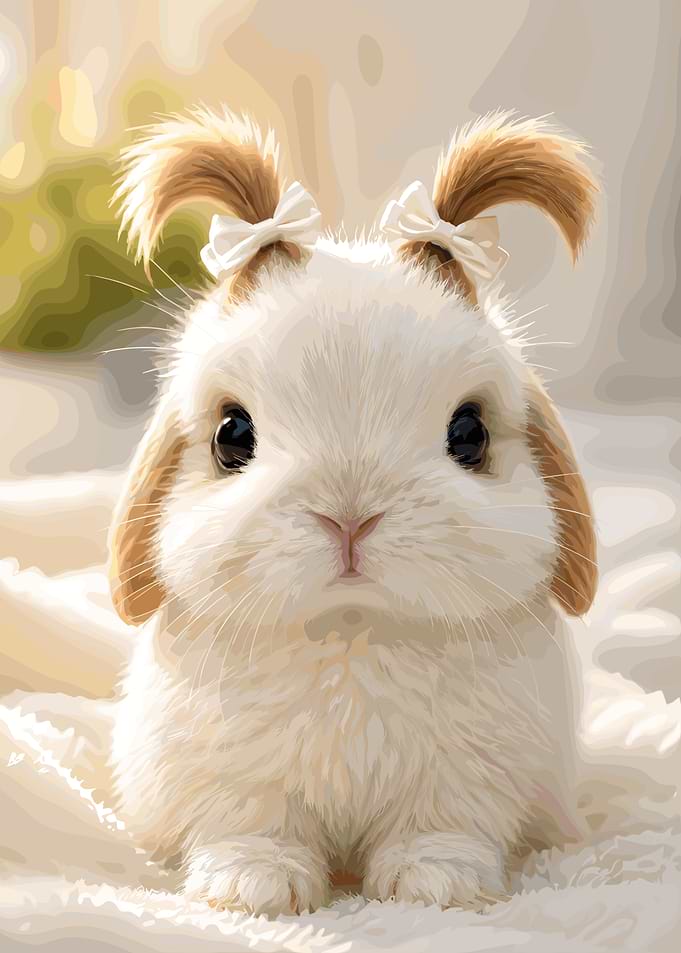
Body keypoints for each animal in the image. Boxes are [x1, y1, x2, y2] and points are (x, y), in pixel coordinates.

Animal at [108, 106, 599, 917]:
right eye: (230, 435)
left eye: (469, 434)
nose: (349, 517)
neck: (350, 629)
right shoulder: (233, 781)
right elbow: (251, 827)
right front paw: (254, 890)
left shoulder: (462, 782)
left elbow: (440, 828)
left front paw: (438, 886)